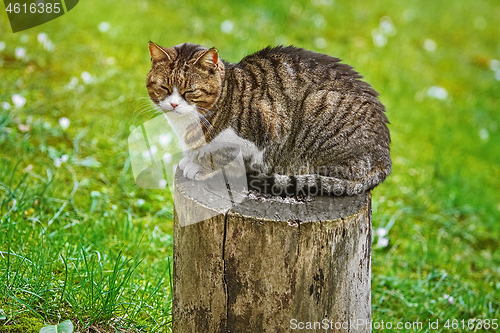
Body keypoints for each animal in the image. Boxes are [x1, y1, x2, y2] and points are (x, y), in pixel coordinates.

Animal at [146, 41, 392, 195]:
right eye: (164, 87)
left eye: (190, 91)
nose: (174, 104)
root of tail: (385, 158)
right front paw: (191, 158)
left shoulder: (266, 125)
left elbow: (221, 155)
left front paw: (200, 166)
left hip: (318, 109)